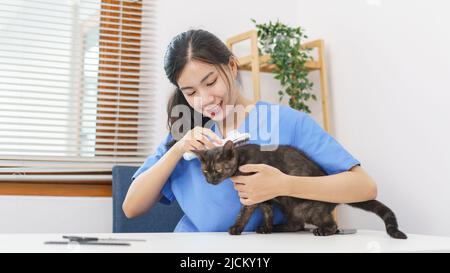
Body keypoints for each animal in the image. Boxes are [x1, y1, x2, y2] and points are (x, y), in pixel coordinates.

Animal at [192, 140, 406, 238]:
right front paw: (267, 227)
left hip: (307, 209)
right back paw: (278, 227)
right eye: (205, 171)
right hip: (290, 208)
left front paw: (236, 228)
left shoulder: (253, 193)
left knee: (331, 225)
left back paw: (323, 231)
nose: (210, 180)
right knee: (296, 225)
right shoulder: (265, 198)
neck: (241, 158)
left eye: (218, 170)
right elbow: (267, 212)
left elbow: (244, 212)